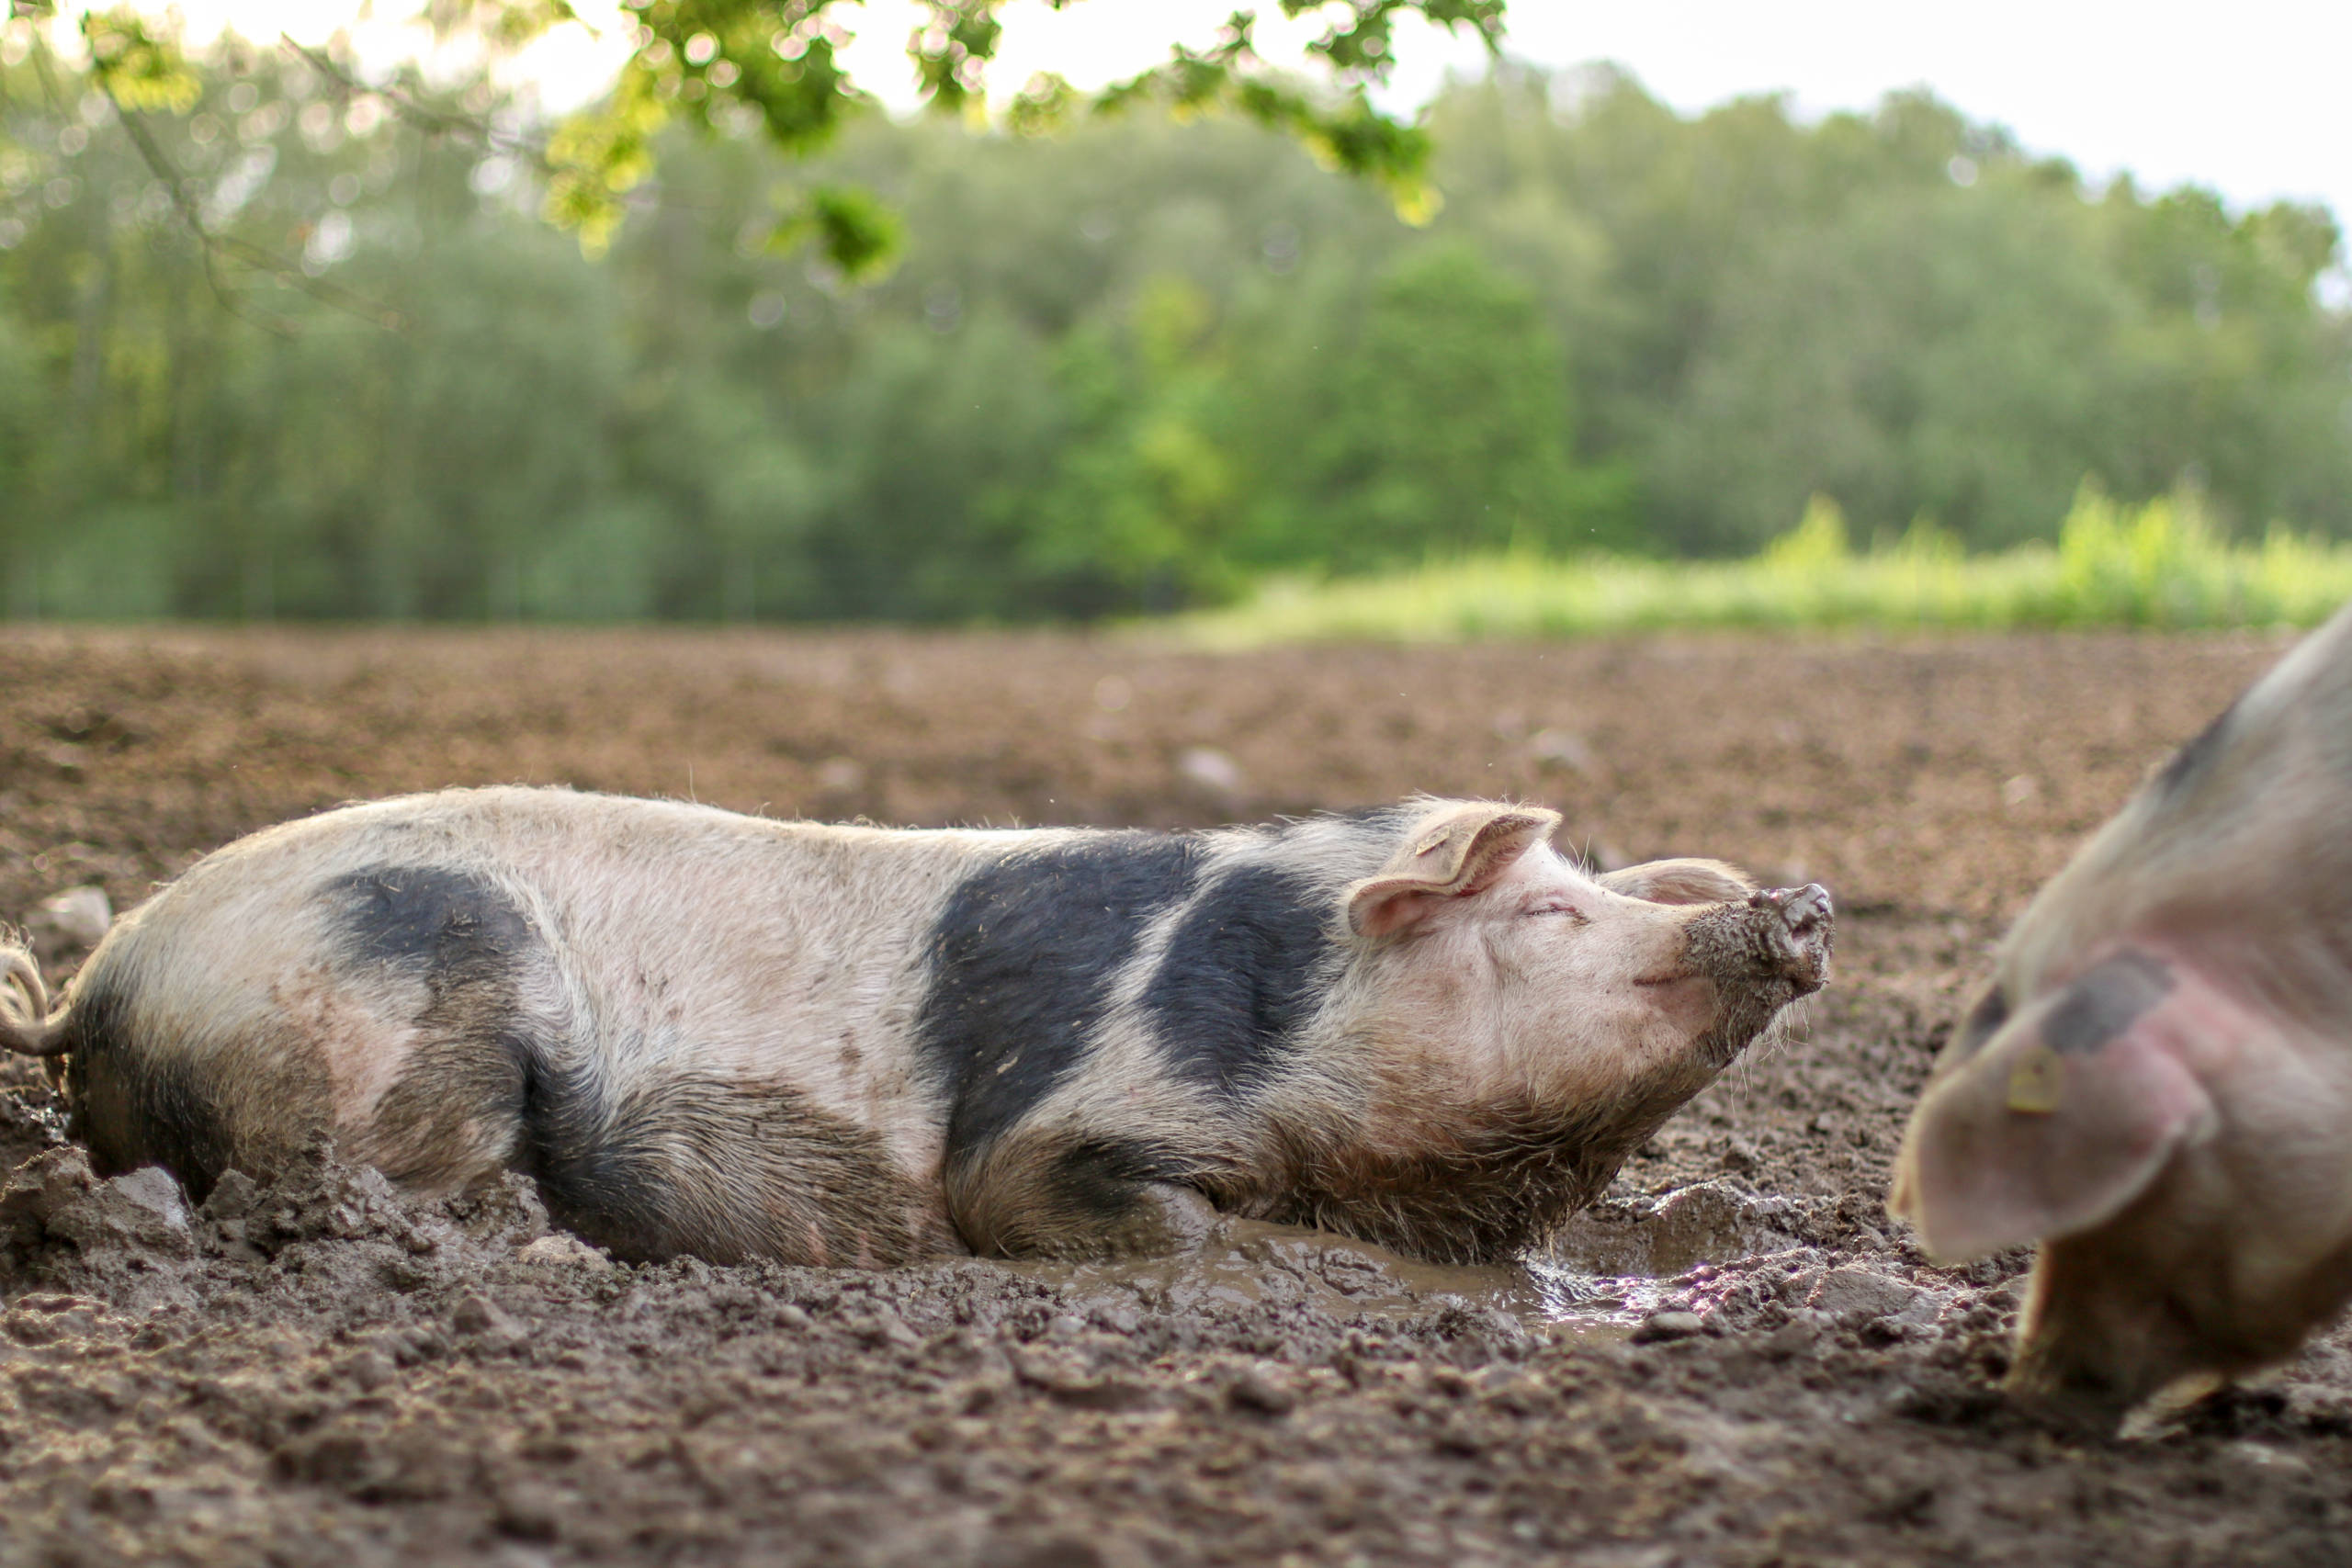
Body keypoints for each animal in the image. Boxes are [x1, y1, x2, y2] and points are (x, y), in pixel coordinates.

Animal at [0, 789, 1834, 1269]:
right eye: (1548, 915)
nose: (1796, 899)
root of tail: (104, 983)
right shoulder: (1050, 1133)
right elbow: (1116, 1212)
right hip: (405, 997)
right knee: (399, 1178)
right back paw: (551, 1257)